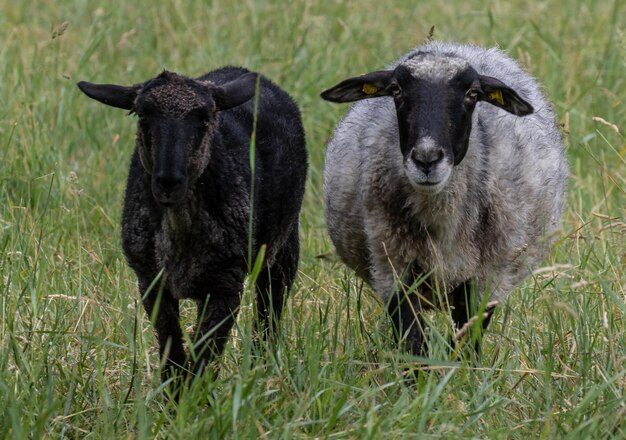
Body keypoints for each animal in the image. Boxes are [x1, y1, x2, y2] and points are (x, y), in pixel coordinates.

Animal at [78, 67, 308, 390]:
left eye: (204, 118)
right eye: (143, 115)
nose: (168, 181)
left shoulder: (227, 285)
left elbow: (205, 353)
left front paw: (196, 396)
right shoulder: (151, 281)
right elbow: (172, 350)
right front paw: (173, 395)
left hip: (282, 247)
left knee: (269, 313)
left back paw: (262, 371)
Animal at [322, 41, 564, 358]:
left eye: (473, 93)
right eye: (396, 90)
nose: (427, 159)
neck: (442, 221)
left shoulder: (486, 281)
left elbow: (466, 347)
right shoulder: (393, 269)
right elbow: (413, 346)